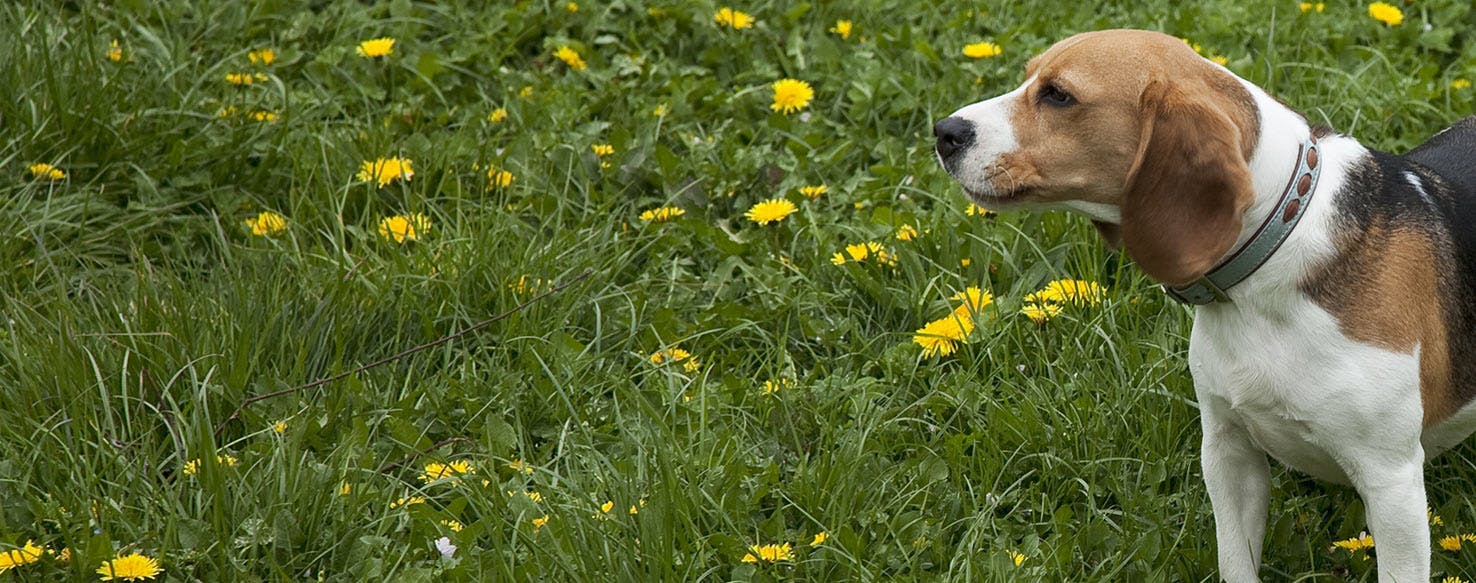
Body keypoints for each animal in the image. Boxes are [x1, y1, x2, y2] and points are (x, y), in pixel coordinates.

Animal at [932, 29, 1476, 581]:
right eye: (1029, 77)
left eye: (1059, 95)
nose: (944, 131)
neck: (1279, 239)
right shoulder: (1228, 451)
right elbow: (1235, 559)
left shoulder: (1391, 483)